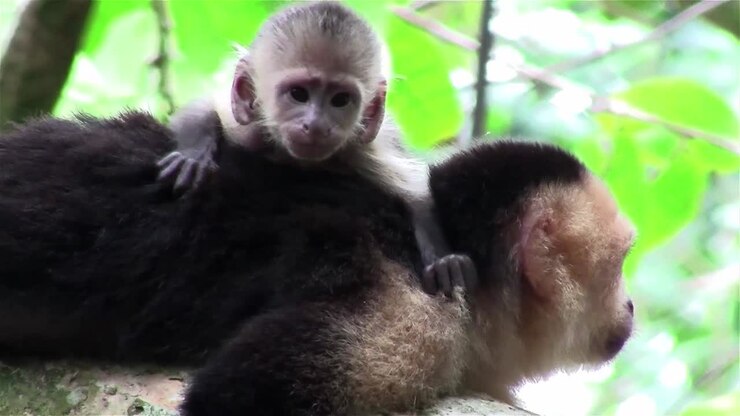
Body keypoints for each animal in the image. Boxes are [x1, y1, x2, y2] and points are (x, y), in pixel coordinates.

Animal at [156, 1, 477, 295]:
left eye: (340, 100)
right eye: (298, 94)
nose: (317, 125)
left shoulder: (363, 151)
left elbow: (416, 196)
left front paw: (442, 258)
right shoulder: (249, 128)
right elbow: (204, 108)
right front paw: (193, 155)